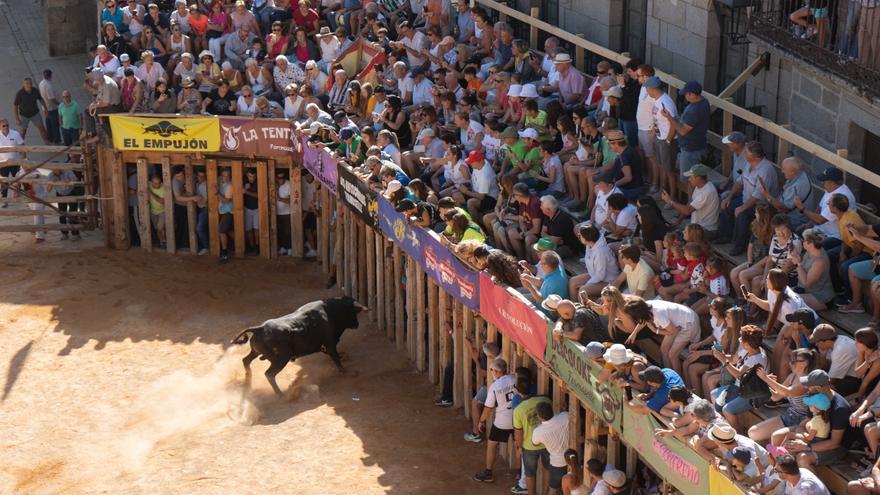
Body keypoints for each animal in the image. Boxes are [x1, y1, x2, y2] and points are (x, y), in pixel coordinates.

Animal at [230, 298, 368, 396]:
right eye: (353, 312)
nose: (357, 324)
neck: (331, 312)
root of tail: (260, 328)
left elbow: (337, 356)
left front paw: (344, 357)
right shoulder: (330, 344)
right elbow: (336, 359)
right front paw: (346, 372)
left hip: (256, 352)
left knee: (246, 360)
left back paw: (248, 380)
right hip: (281, 359)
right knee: (269, 374)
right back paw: (281, 395)